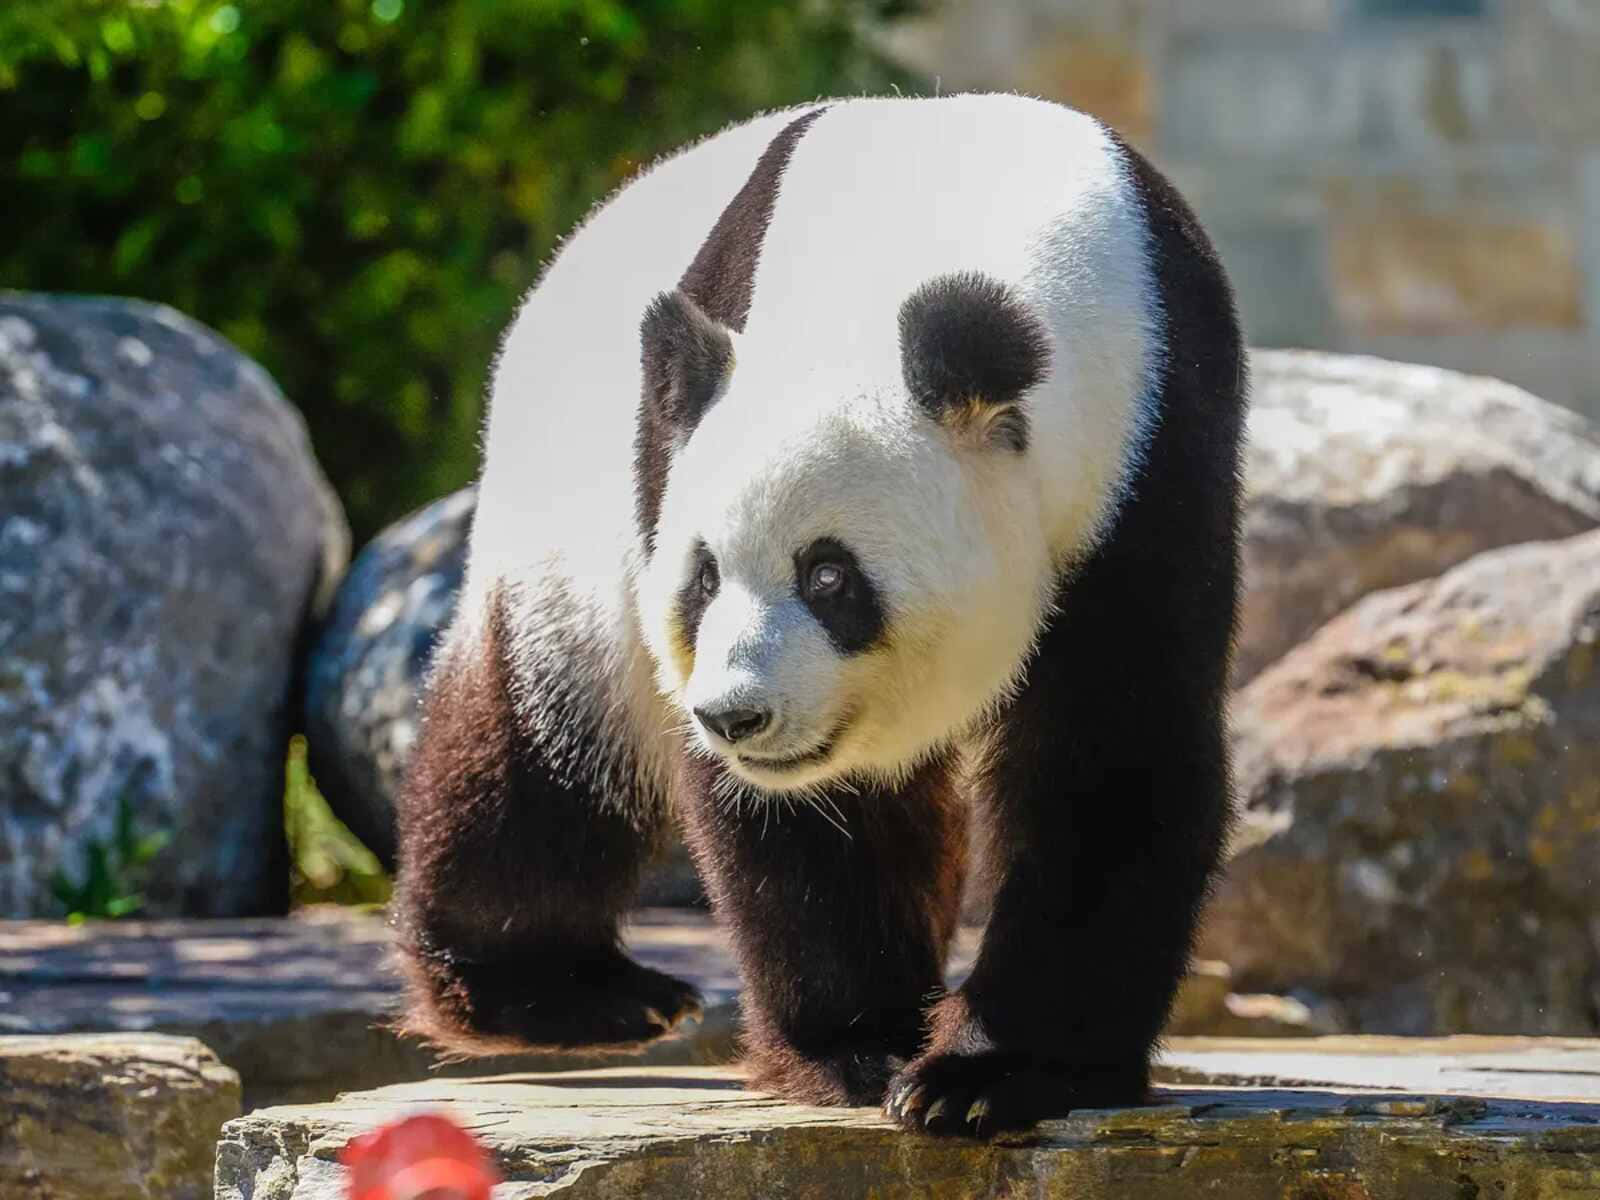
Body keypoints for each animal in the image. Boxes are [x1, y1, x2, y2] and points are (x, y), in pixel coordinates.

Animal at [393, 94, 1241, 1139]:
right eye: (703, 577)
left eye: (830, 577)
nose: (736, 716)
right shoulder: (673, 462)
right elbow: (806, 820)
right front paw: (860, 1049)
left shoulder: (1153, 449)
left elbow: (1111, 753)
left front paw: (995, 1075)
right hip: (563, 517)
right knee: (546, 742)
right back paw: (562, 991)